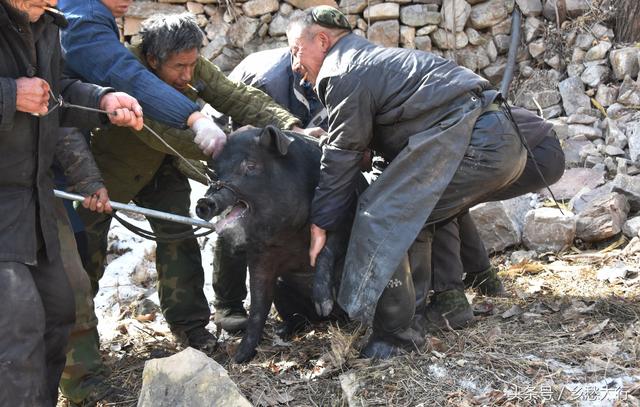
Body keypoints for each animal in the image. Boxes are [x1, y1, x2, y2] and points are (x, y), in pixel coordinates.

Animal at [195, 125, 360, 364]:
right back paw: (285, 329)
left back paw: (336, 317)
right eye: (216, 173)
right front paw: (238, 358)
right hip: (282, 289)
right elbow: (257, 305)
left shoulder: (343, 218)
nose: (204, 202)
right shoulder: (258, 255)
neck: (287, 234)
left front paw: (324, 304)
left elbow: (326, 250)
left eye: (251, 165)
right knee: (300, 319)